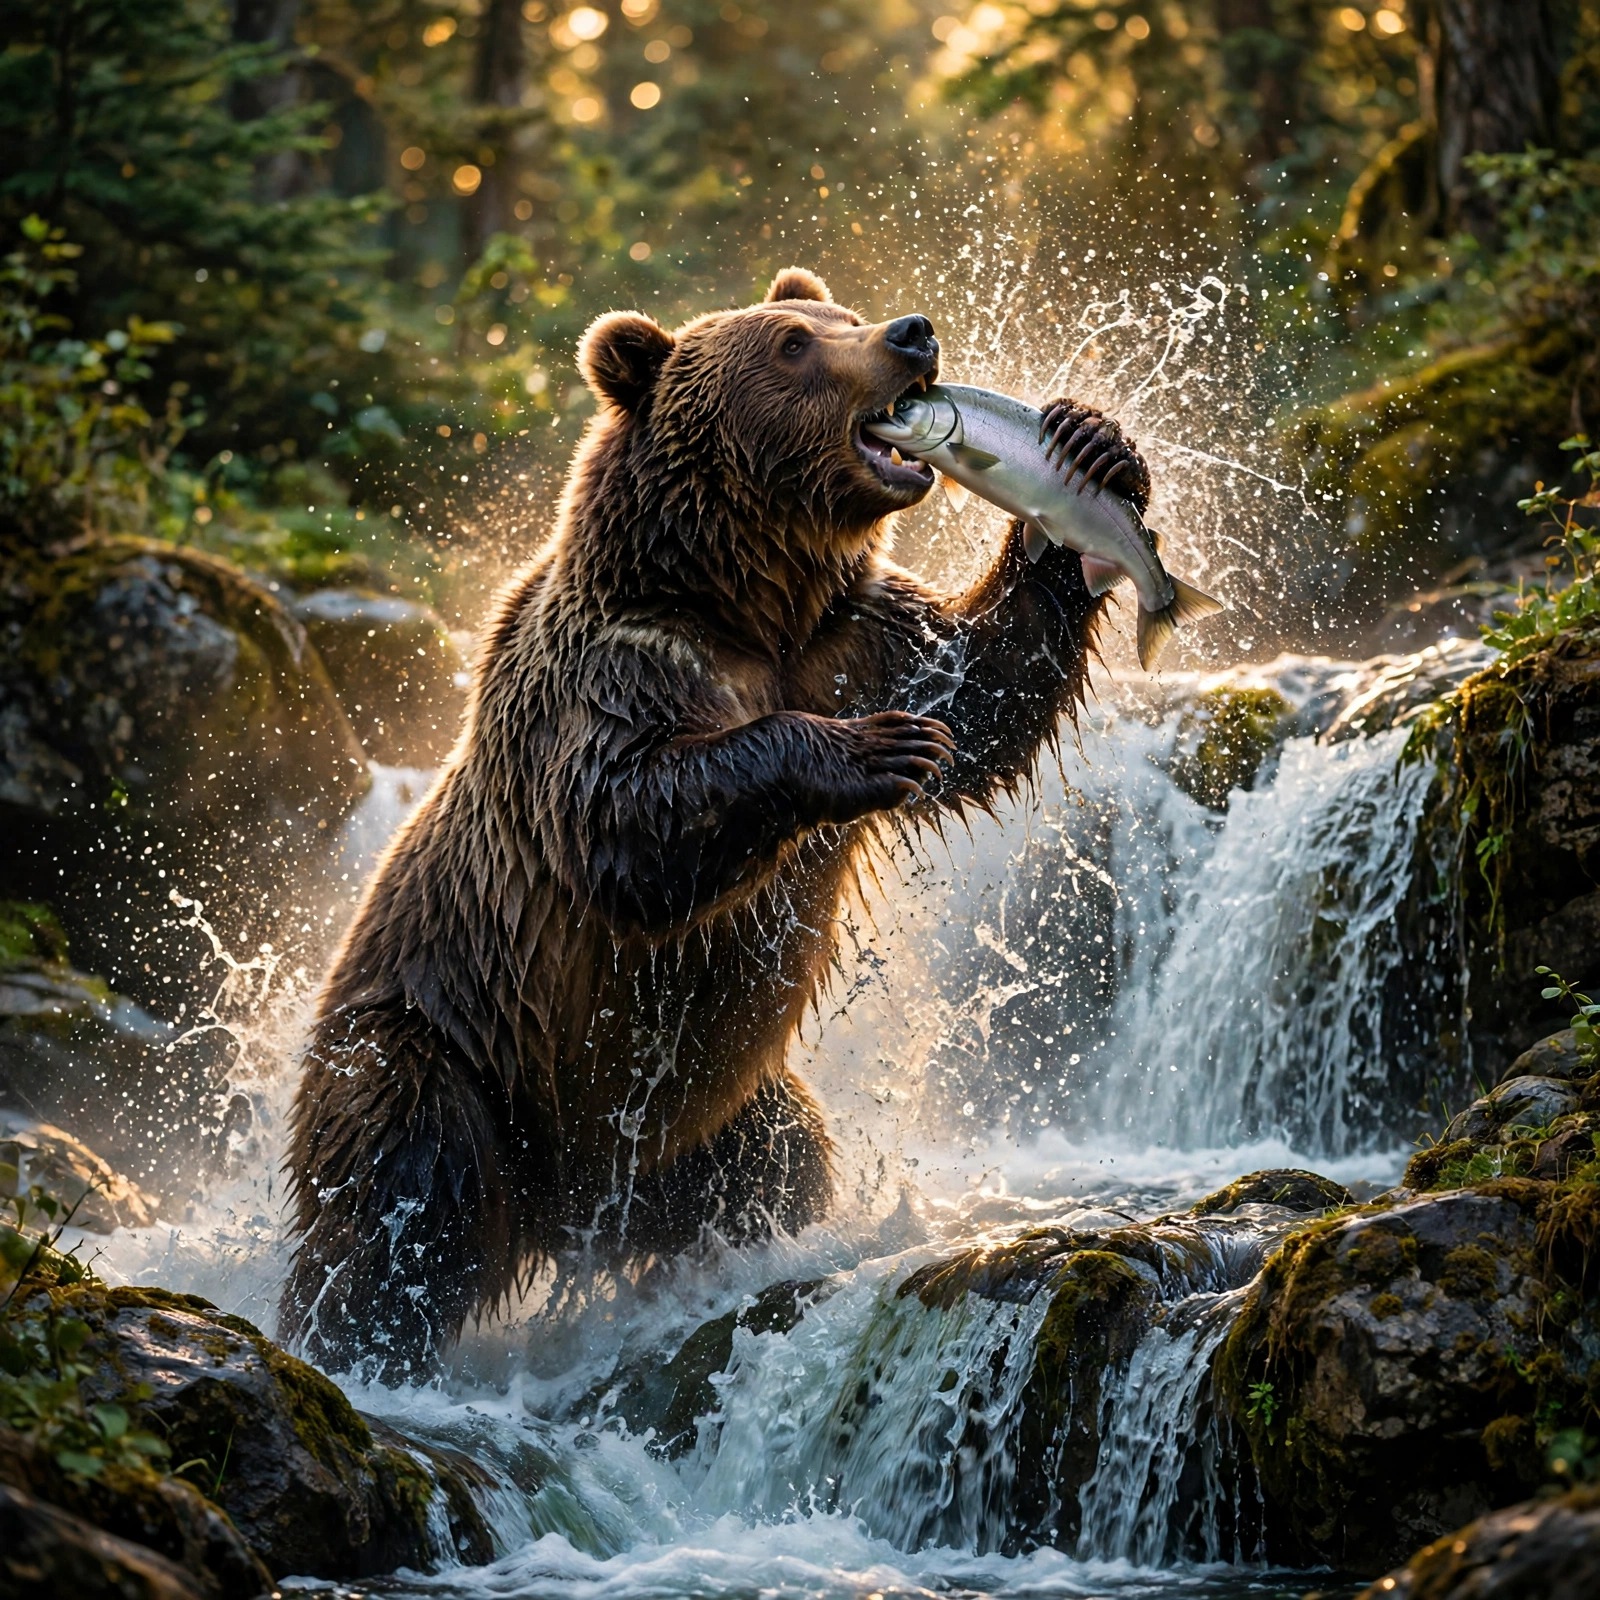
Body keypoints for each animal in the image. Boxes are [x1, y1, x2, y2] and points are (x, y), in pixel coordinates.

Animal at [280, 267, 1147, 1380]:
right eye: (792, 344)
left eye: (838, 314)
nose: (911, 333)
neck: (745, 597)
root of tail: (561, 1216)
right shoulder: (616, 669)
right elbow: (626, 820)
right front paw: (871, 751)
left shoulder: (858, 639)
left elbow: (985, 687)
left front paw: (1092, 457)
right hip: (445, 1046)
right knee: (398, 1202)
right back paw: (352, 1345)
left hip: (705, 1116)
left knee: (778, 1165)